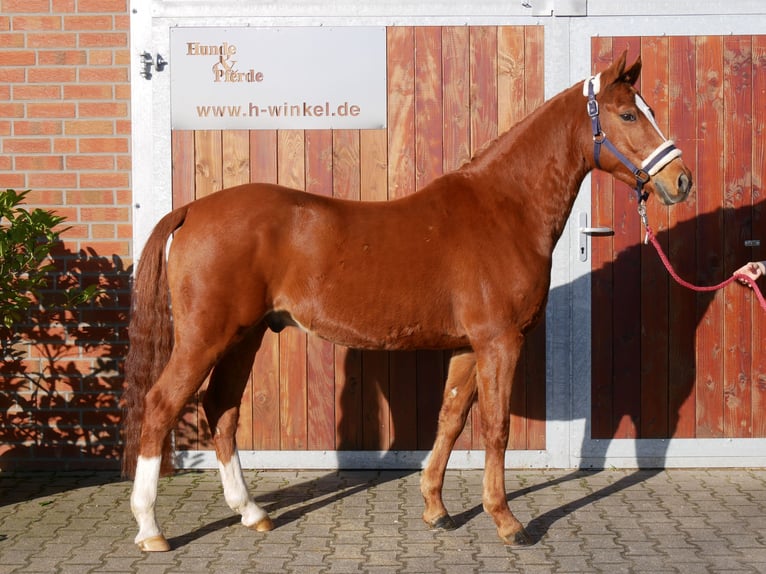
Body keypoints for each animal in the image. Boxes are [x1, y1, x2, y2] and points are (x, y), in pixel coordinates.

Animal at [123, 54, 692, 552]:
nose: (680, 180)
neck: (504, 209)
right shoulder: (500, 342)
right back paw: (150, 529)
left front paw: (437, 509)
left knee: (221, 410)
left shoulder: (468, 347)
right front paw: (507, 522)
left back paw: (251, 512)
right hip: (206, 337)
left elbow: (451, 419)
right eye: (627, 114)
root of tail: (191, 209)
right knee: (161, 405)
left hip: (246, 336)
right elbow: (496, 428)